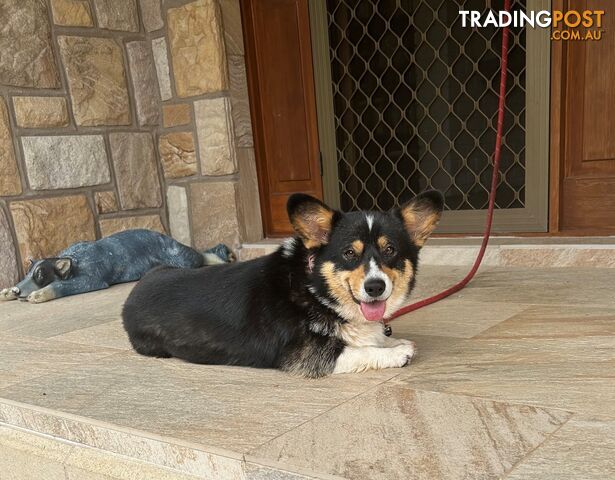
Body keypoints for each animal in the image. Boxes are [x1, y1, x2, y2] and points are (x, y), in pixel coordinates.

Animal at [122, 190, 446, 376]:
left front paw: (394, 341)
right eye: (349, 253)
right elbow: (360, 351)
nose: (375, 287)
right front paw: (396, 352)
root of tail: (134, 291)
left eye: (390, 250)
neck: (314, 287)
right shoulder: (306, 356)